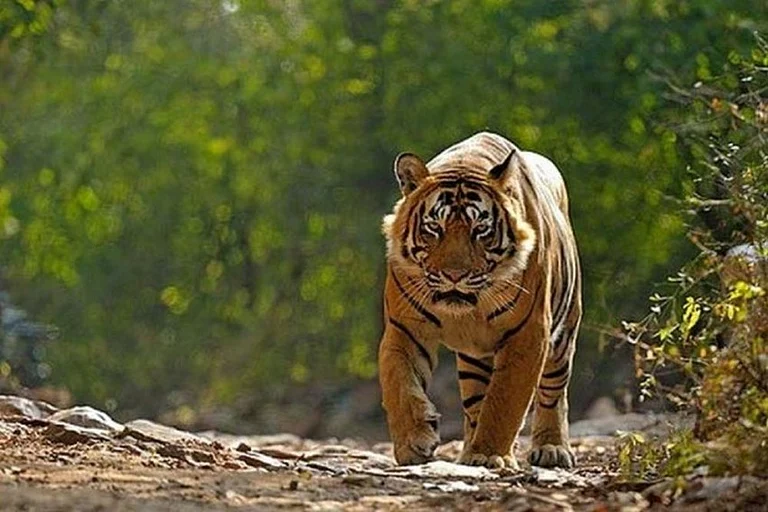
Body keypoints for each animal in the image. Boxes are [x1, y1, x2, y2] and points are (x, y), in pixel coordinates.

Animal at [378, 131, 582, 470]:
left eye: (480, 230)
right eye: (434, 228)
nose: (454, 275)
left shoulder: (528, 334)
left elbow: (504, 401)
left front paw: (489, 453)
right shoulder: (404, 328)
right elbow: (399, 385)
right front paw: (413, 443)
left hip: (563, 335)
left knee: (553, 392)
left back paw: (551, 449)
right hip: (474, 359)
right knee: (475, 403)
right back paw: (468, 453)